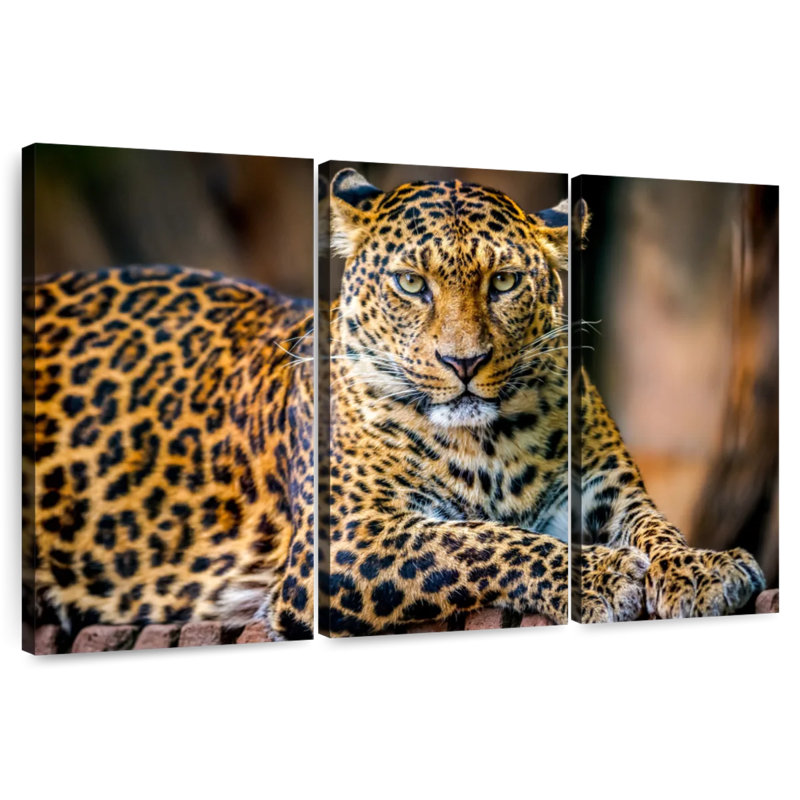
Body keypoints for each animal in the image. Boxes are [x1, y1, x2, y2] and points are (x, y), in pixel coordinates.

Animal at [320, 168, 766, 634]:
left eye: (504, 281)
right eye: (410, 283)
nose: (464, 362)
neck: (487, 445)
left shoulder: (608, 488)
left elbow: (655, 526)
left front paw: (698, 568)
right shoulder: (349, 533)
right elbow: (477, 540)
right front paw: (601, 575)